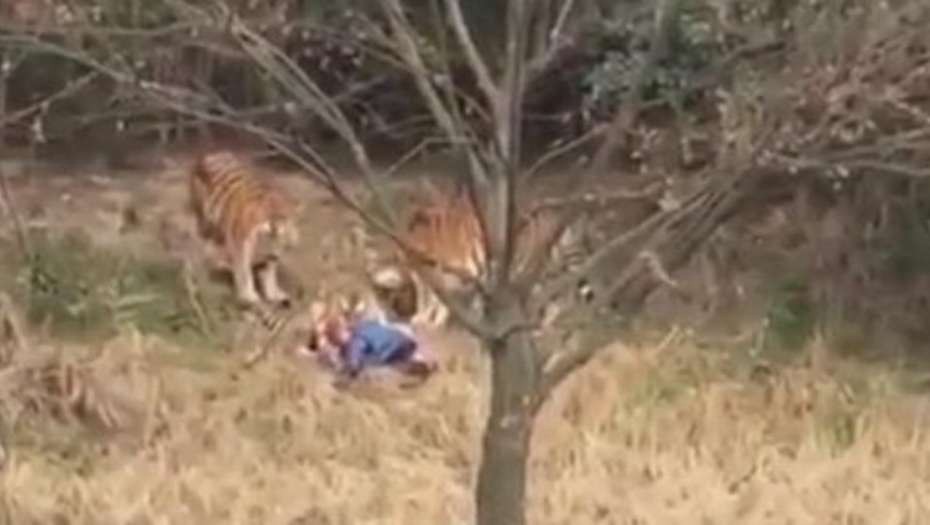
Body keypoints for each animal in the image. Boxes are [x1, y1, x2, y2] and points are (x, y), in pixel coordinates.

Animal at [188, 150, 300, 309]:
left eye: (283, 218)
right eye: (267, 217)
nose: (275, 227)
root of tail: (210, 154)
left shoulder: (271, 254)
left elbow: (269, 274)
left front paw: (273, 294)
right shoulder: (240, 248)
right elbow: (244, 272)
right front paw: (249, 296)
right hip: (206, 220)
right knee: (208, 243)